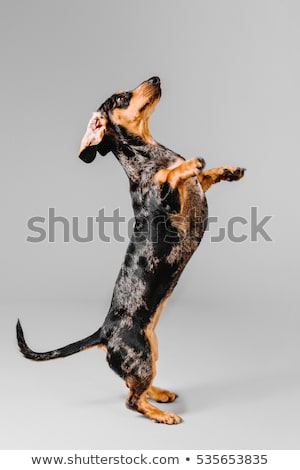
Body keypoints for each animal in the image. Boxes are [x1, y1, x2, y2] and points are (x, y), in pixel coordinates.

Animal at [16, 76, 245, 422]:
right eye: (121, 98)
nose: (155, 78)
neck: (152, 154)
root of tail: (104, 332)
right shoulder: (169, 201)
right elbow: (172, 175)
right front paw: (189, 163)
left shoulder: (196, 189)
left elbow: (204, 176)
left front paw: (228, 171)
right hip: (141, 356)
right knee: (131, 400)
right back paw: (161, 414)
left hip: (152, 351)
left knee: (132, 386)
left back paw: (160, 394)